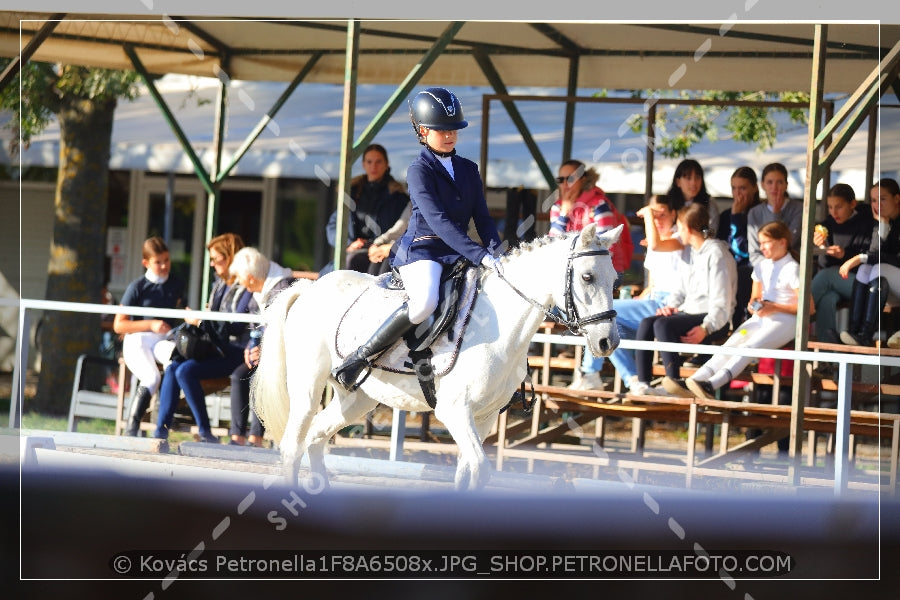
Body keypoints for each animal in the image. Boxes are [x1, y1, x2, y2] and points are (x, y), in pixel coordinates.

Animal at [250, 223, 624, 490]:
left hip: (356, 399)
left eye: (615, 281)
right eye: (587, 276)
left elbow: (468, 475)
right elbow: (480, 469)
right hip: (308, 387)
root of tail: (309, 288)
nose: (608, 341)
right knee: (293, 446)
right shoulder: (455, 411)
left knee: (315, 438)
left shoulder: (484, 417)